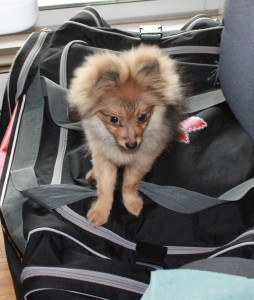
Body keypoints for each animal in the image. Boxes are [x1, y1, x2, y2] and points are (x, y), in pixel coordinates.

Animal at [67, 44, 183, 226]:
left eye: (142, 117)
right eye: (114, 119)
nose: (131, 144)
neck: (122, 151)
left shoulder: (143, 159)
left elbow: (130, 183)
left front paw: (131, 202)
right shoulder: (104, 158)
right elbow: (105, 187)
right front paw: (100, 211)